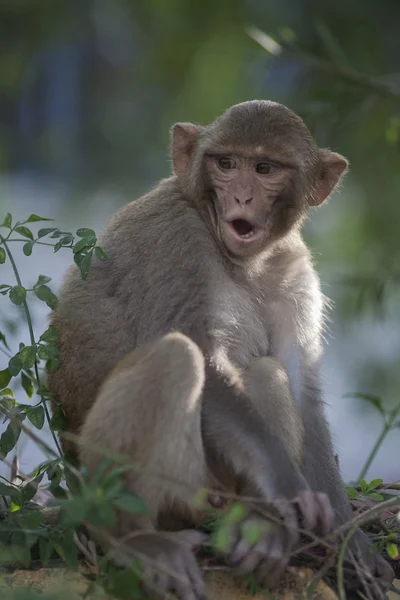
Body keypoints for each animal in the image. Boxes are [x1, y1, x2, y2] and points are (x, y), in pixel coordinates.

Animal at [47, 101, 394, 596]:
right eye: (226, 163)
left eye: (265, 168)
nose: (243, 198)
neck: (245, 259)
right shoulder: (174, 241)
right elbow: (204, 361)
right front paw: (291, 488)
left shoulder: (294, 268)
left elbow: (302, 388)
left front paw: (348, 541)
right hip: (169, 485)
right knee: (175, 356)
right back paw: (130, 535)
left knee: (268, 372)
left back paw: (263, 529)